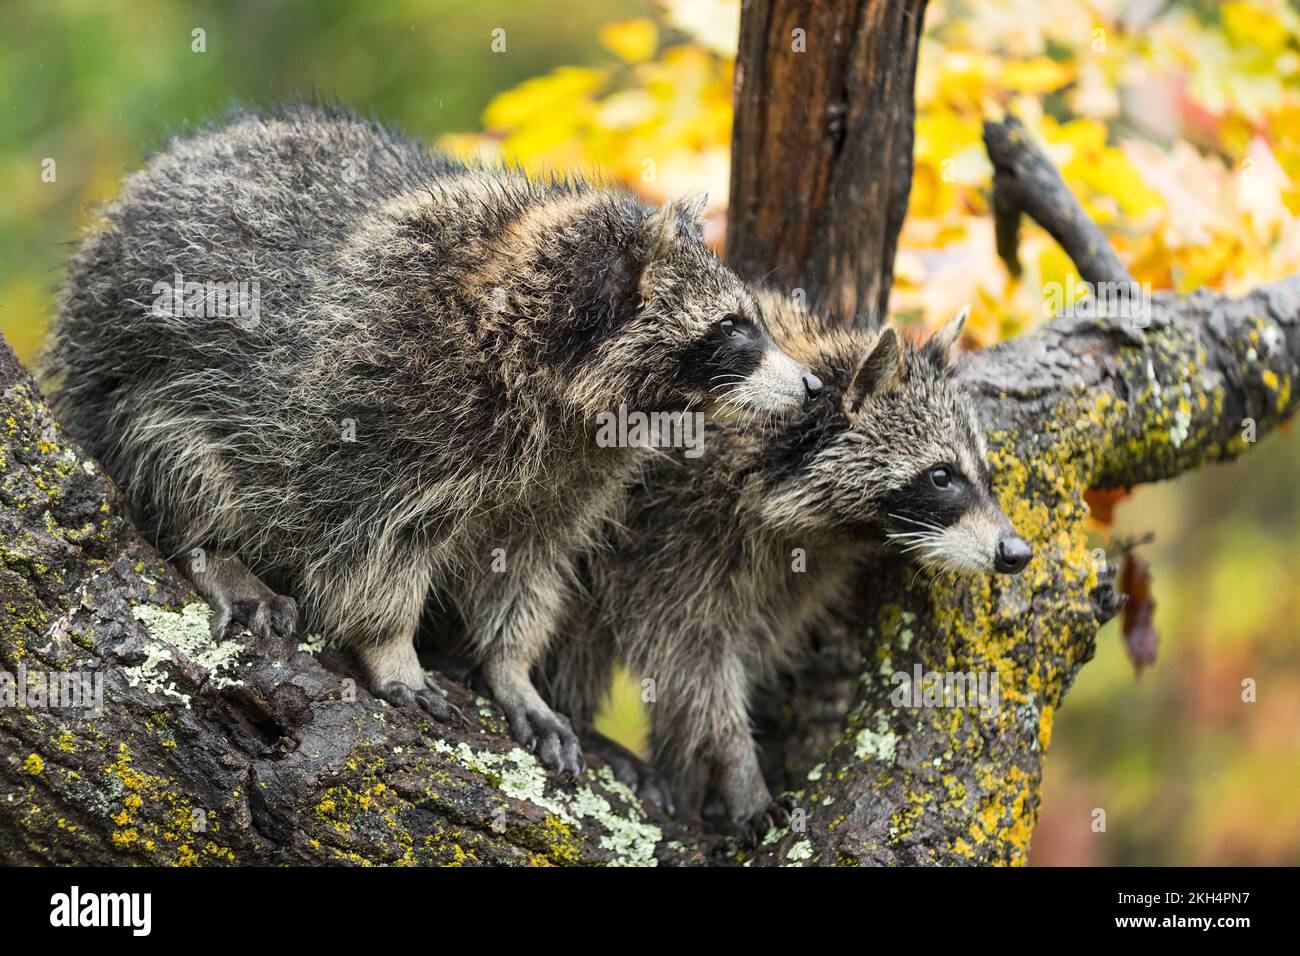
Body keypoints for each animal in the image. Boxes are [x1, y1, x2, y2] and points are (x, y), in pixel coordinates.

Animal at [46, 104, 819, 773]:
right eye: (732, 328)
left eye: (750, 318)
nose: (814, 387)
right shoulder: (382, 404)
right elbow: (363, 547)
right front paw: (391, 645)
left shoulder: (569, 472)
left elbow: (528, 564)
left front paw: (511, 668)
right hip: (134, 379)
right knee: (179, 456)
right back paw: (212, 547)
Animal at [544, 295, 1031, 838]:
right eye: (942, 476)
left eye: (984, 472)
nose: (1016, 552)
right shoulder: (673, 530)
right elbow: (688, 660)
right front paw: (737, 766)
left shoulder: (797, 566)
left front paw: (692, 773)